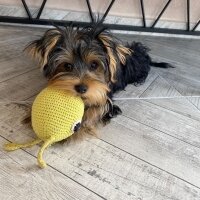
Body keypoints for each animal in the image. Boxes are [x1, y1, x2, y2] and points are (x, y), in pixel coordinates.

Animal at [24, 21, 172, 141]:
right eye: (67, 66)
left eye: (94, 65)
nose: (81, 88)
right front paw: (30, 115)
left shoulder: (106, 97)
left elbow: (98, 108)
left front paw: (79, 127)